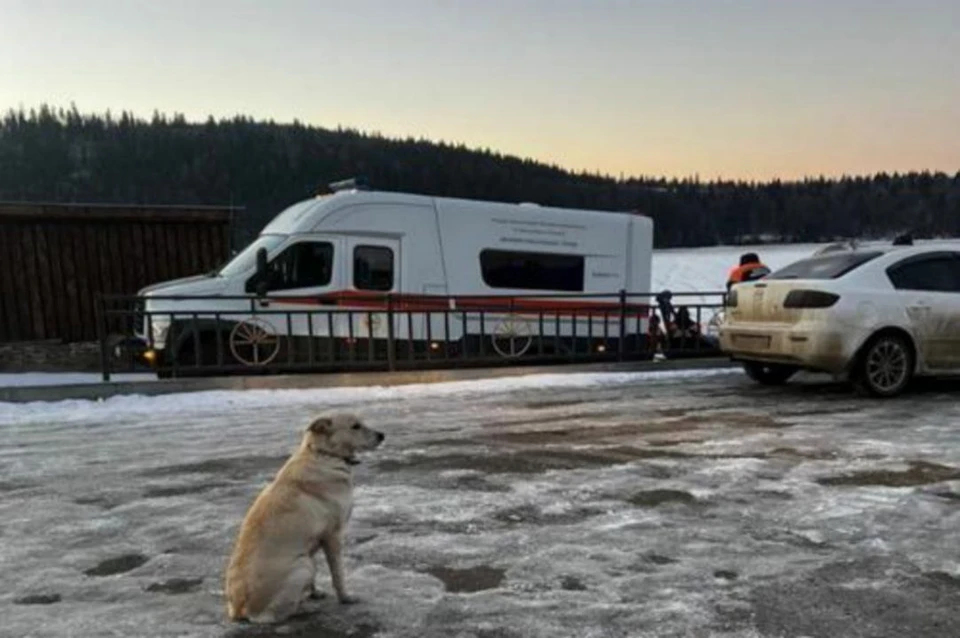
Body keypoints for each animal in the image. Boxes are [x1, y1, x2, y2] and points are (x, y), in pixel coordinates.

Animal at [223, 412, 384, 628]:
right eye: (355, 426)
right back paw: (299, 608)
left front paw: (315, 592)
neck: (324, 454)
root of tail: (238, 608)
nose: (382, 435)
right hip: (304, 566)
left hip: (306, 562)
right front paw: (345, 597)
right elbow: (338, 574)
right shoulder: (333, 536)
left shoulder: (314, 541)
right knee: (270, 617)